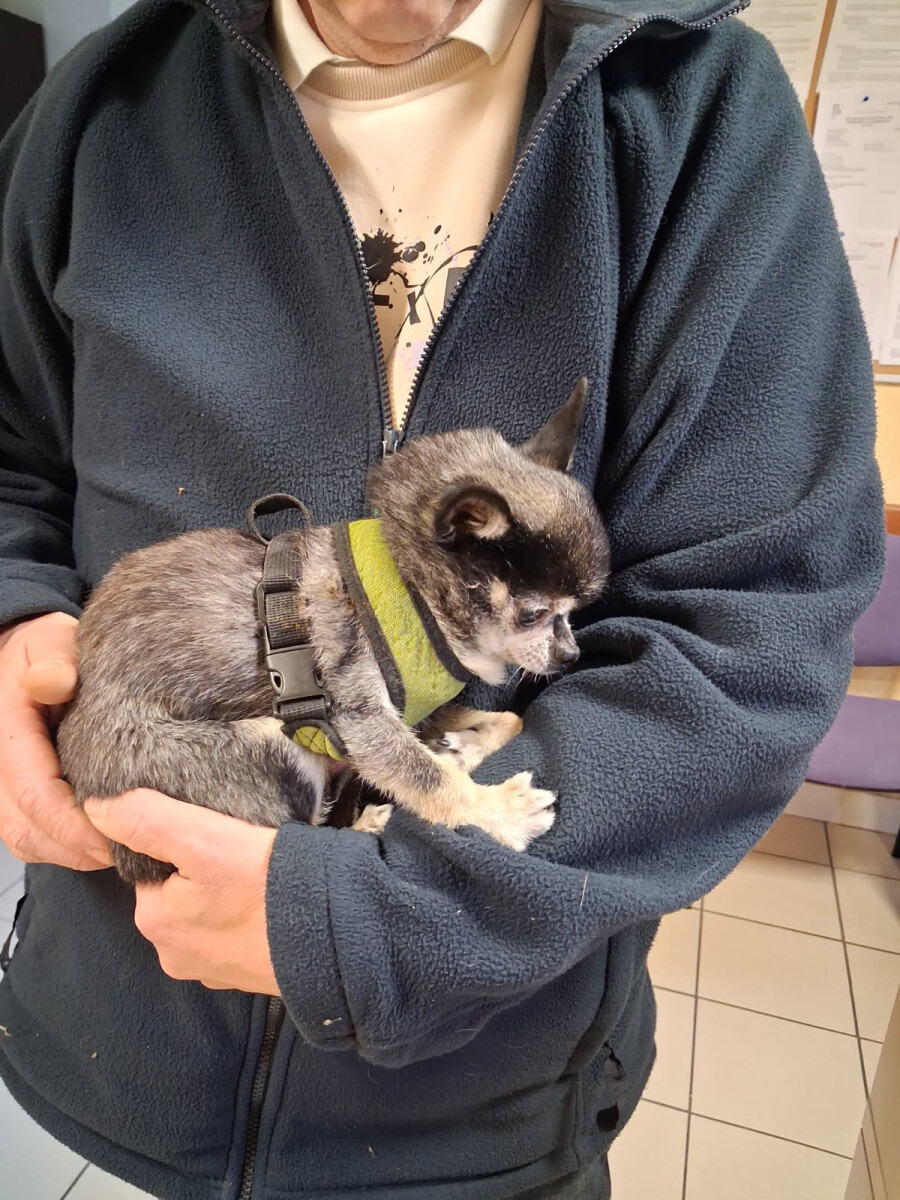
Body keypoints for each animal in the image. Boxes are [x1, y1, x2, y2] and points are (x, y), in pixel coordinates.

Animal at [57, 380, 609, 883]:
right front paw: (497, 810)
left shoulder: (416, 707)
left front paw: (462, 749)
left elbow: (506, 721)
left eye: (572, 612)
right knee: (296, 824)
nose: (571, 655)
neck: (413, 591)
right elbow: (432, 782)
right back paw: (364, 824)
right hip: (260, 750)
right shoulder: (360, 718)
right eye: (532, 613)